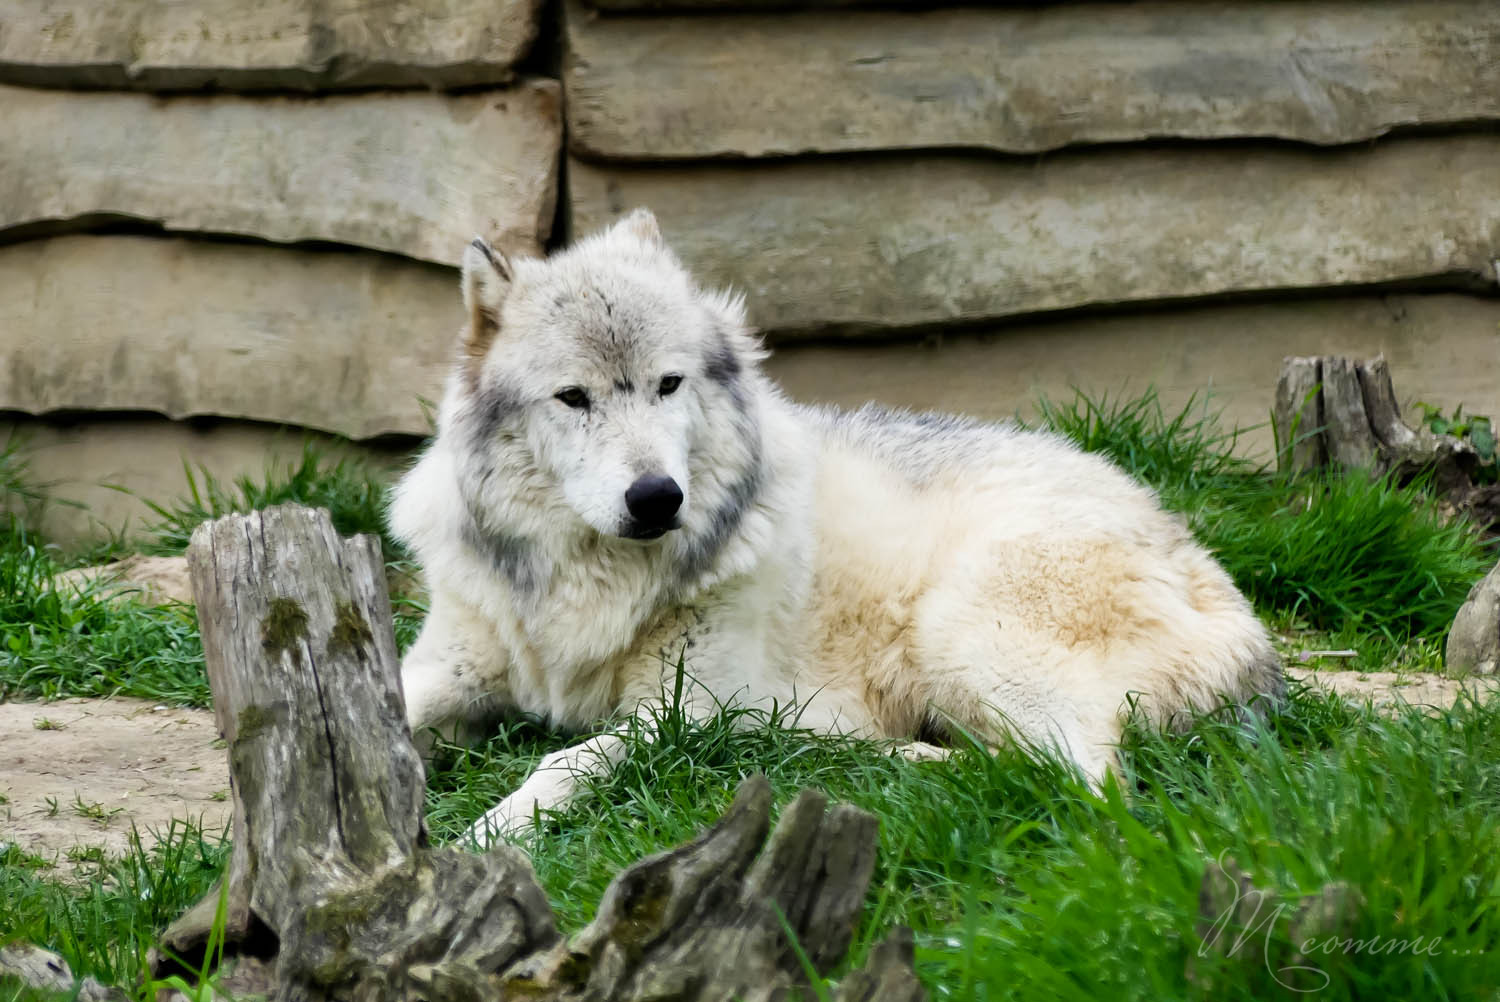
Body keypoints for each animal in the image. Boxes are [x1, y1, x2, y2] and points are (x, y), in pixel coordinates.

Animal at [390, 209, 1284, 843]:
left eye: (668, 385)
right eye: (573, 398)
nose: (658, 498)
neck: (586, 580)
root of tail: (1204, 565)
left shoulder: (683, 710)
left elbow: (565, 758)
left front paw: (488, 834)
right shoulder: (449, 667)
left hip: (961, 630)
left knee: (1084, 784)